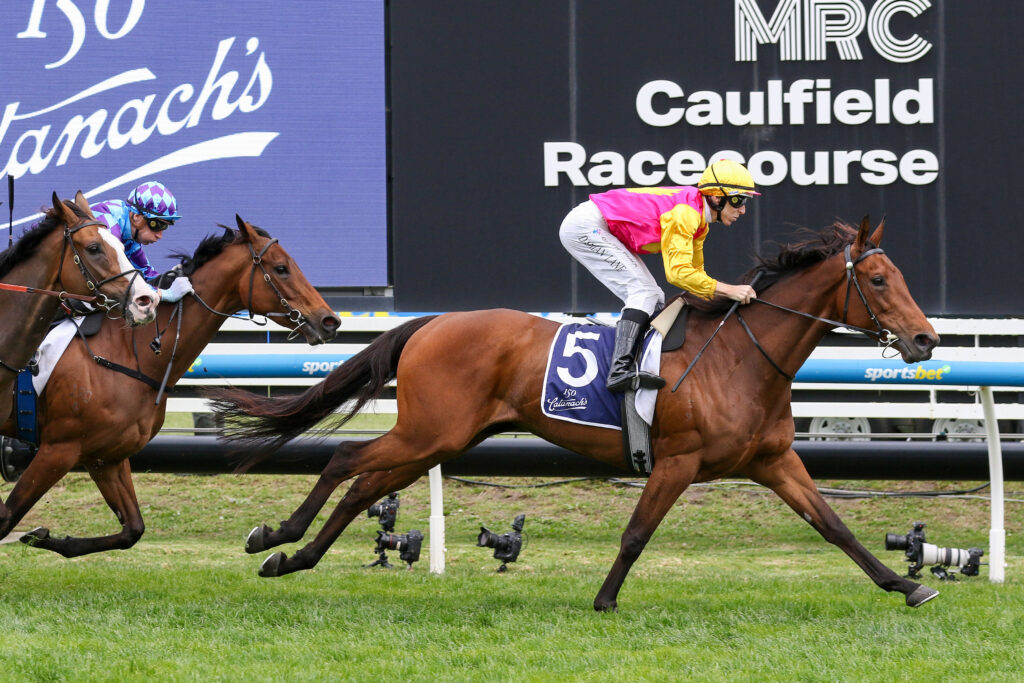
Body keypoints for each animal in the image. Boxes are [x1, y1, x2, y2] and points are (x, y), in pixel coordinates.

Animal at [209, 217, 941, 610]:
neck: (742, 356)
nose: (926, 338)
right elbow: (637, 534)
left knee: (366, 486)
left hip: (436, 439)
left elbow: (834, 526)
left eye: (901, 276)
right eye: (879, 280)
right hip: (429, 430)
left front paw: (905, 585)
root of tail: (433, 322)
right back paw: (273, 537)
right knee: (346, 459)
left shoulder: (773, 460)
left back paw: (292, 558)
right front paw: (605, 598)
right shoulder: (677, 460)